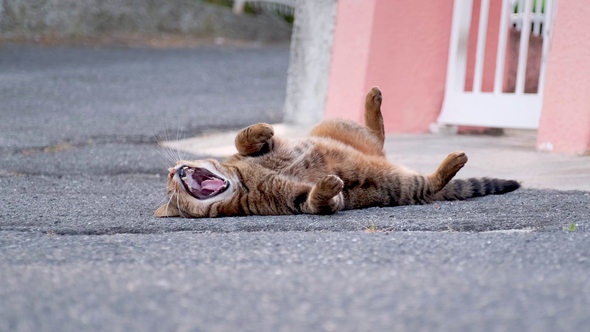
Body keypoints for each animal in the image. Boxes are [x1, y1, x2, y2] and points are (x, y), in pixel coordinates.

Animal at [156, 87, 524, 219]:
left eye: (171, 179)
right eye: (172, 190)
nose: (174, 171)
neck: (244, 182)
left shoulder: (260, 152)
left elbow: (242, 140)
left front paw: (260, 129)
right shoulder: (298, 202)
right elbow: (319, 200)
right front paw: (328, 186)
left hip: (335, 126)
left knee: (376, 135)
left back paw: (373, 98)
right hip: (402, 188)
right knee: (430, 181)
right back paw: (453, 161)